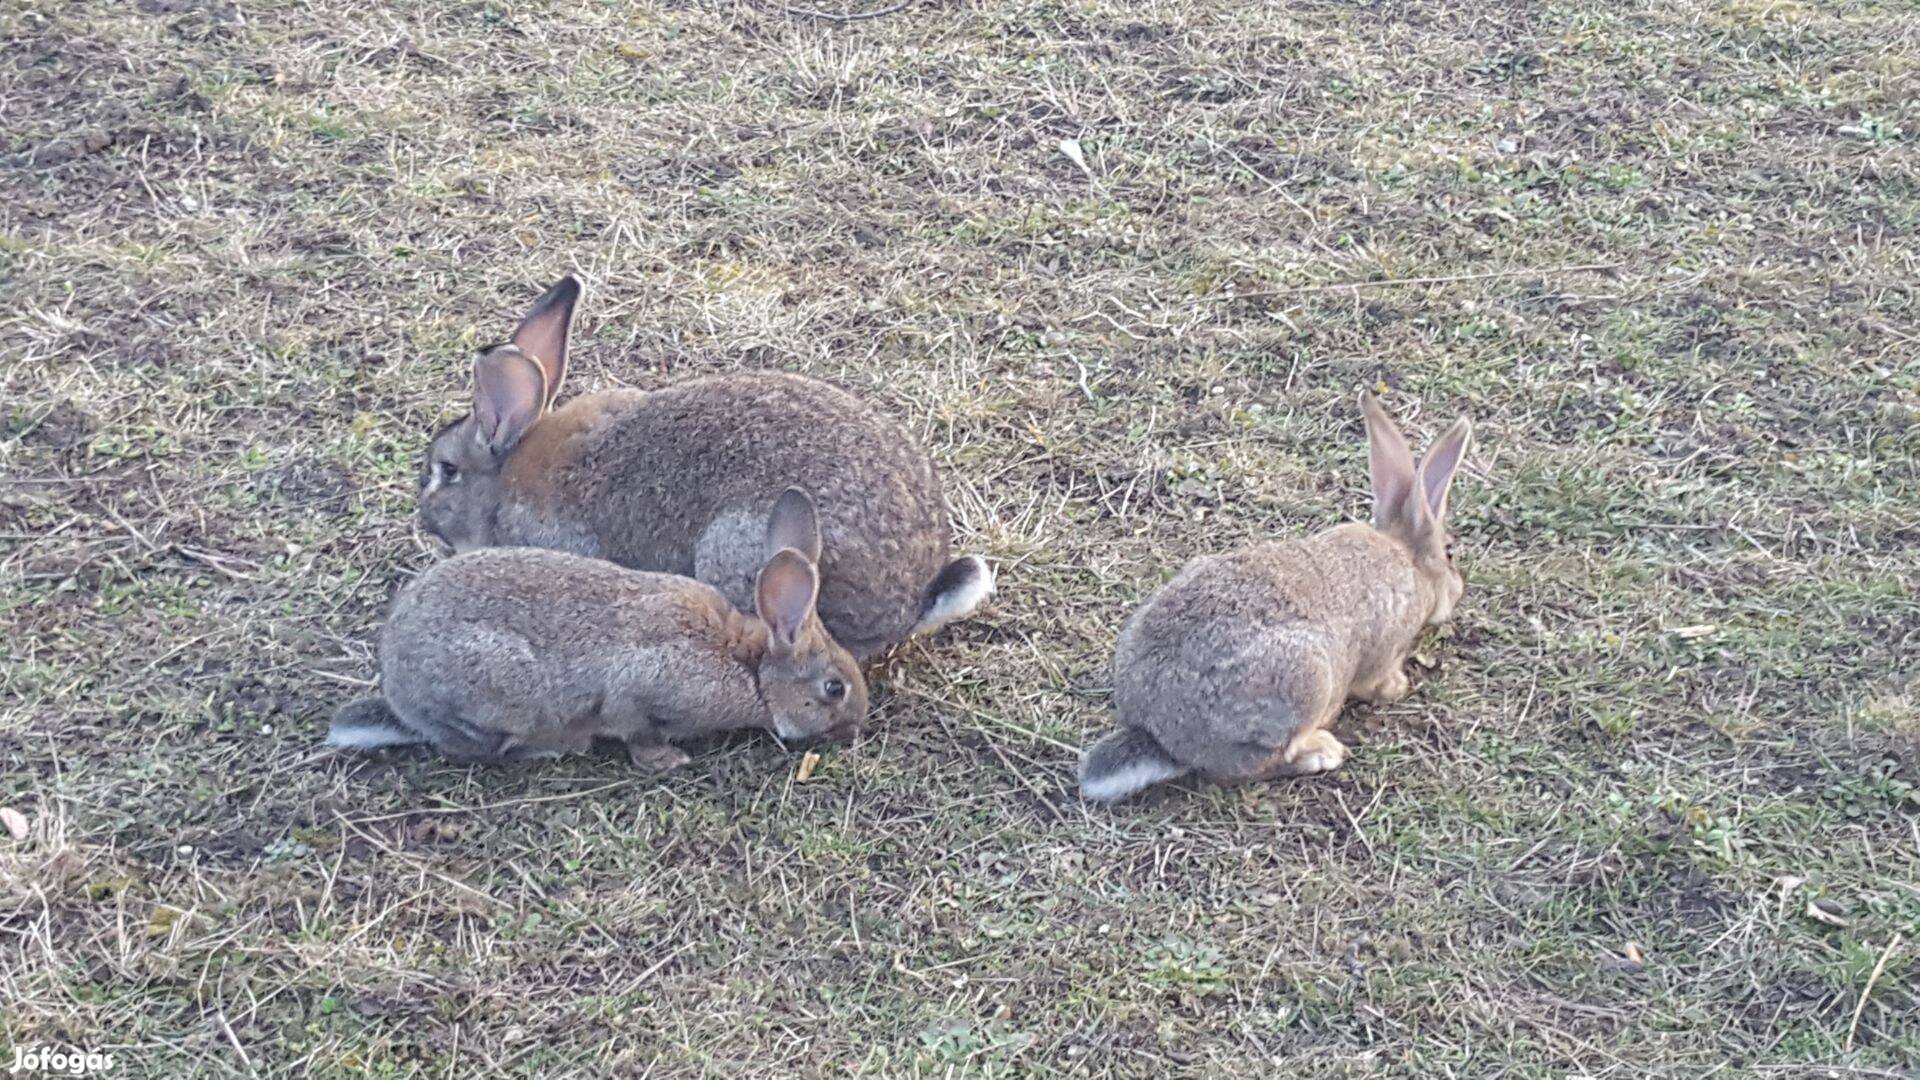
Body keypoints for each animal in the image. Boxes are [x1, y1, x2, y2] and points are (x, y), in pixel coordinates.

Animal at [334, 484, 867, 768]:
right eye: (833, 689)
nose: (857, 724)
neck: (750, 667)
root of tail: (399, 696)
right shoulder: (643, 691)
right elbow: (636, 729)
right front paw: (667, 761)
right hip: (500, 691)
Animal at [1082, 393, 1466, 799]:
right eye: (1450, 552)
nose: (1458, 589)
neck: (1409, 560)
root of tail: (1160, 735)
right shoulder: (1384, 648)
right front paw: (1396, 687)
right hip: (1308, 680)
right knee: (1244, 768)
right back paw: (1321, 752)